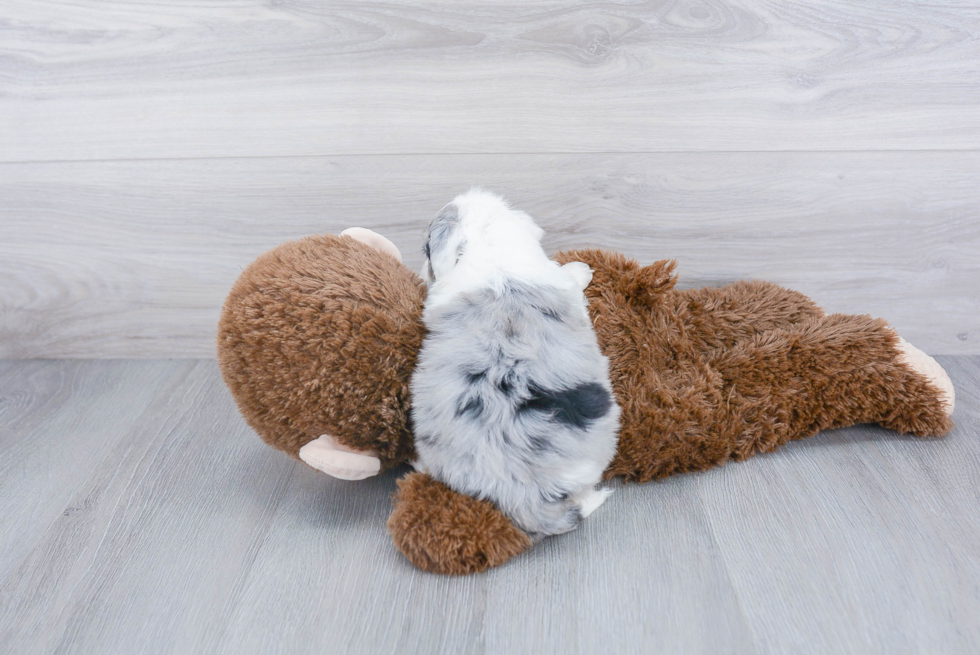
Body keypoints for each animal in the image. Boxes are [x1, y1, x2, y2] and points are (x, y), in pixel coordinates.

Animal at [412, 188, 620, 540]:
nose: (420, 265)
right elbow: (570, 276)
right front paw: (582, 269)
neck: (488, 248)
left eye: (427, 247)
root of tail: (518, 492)